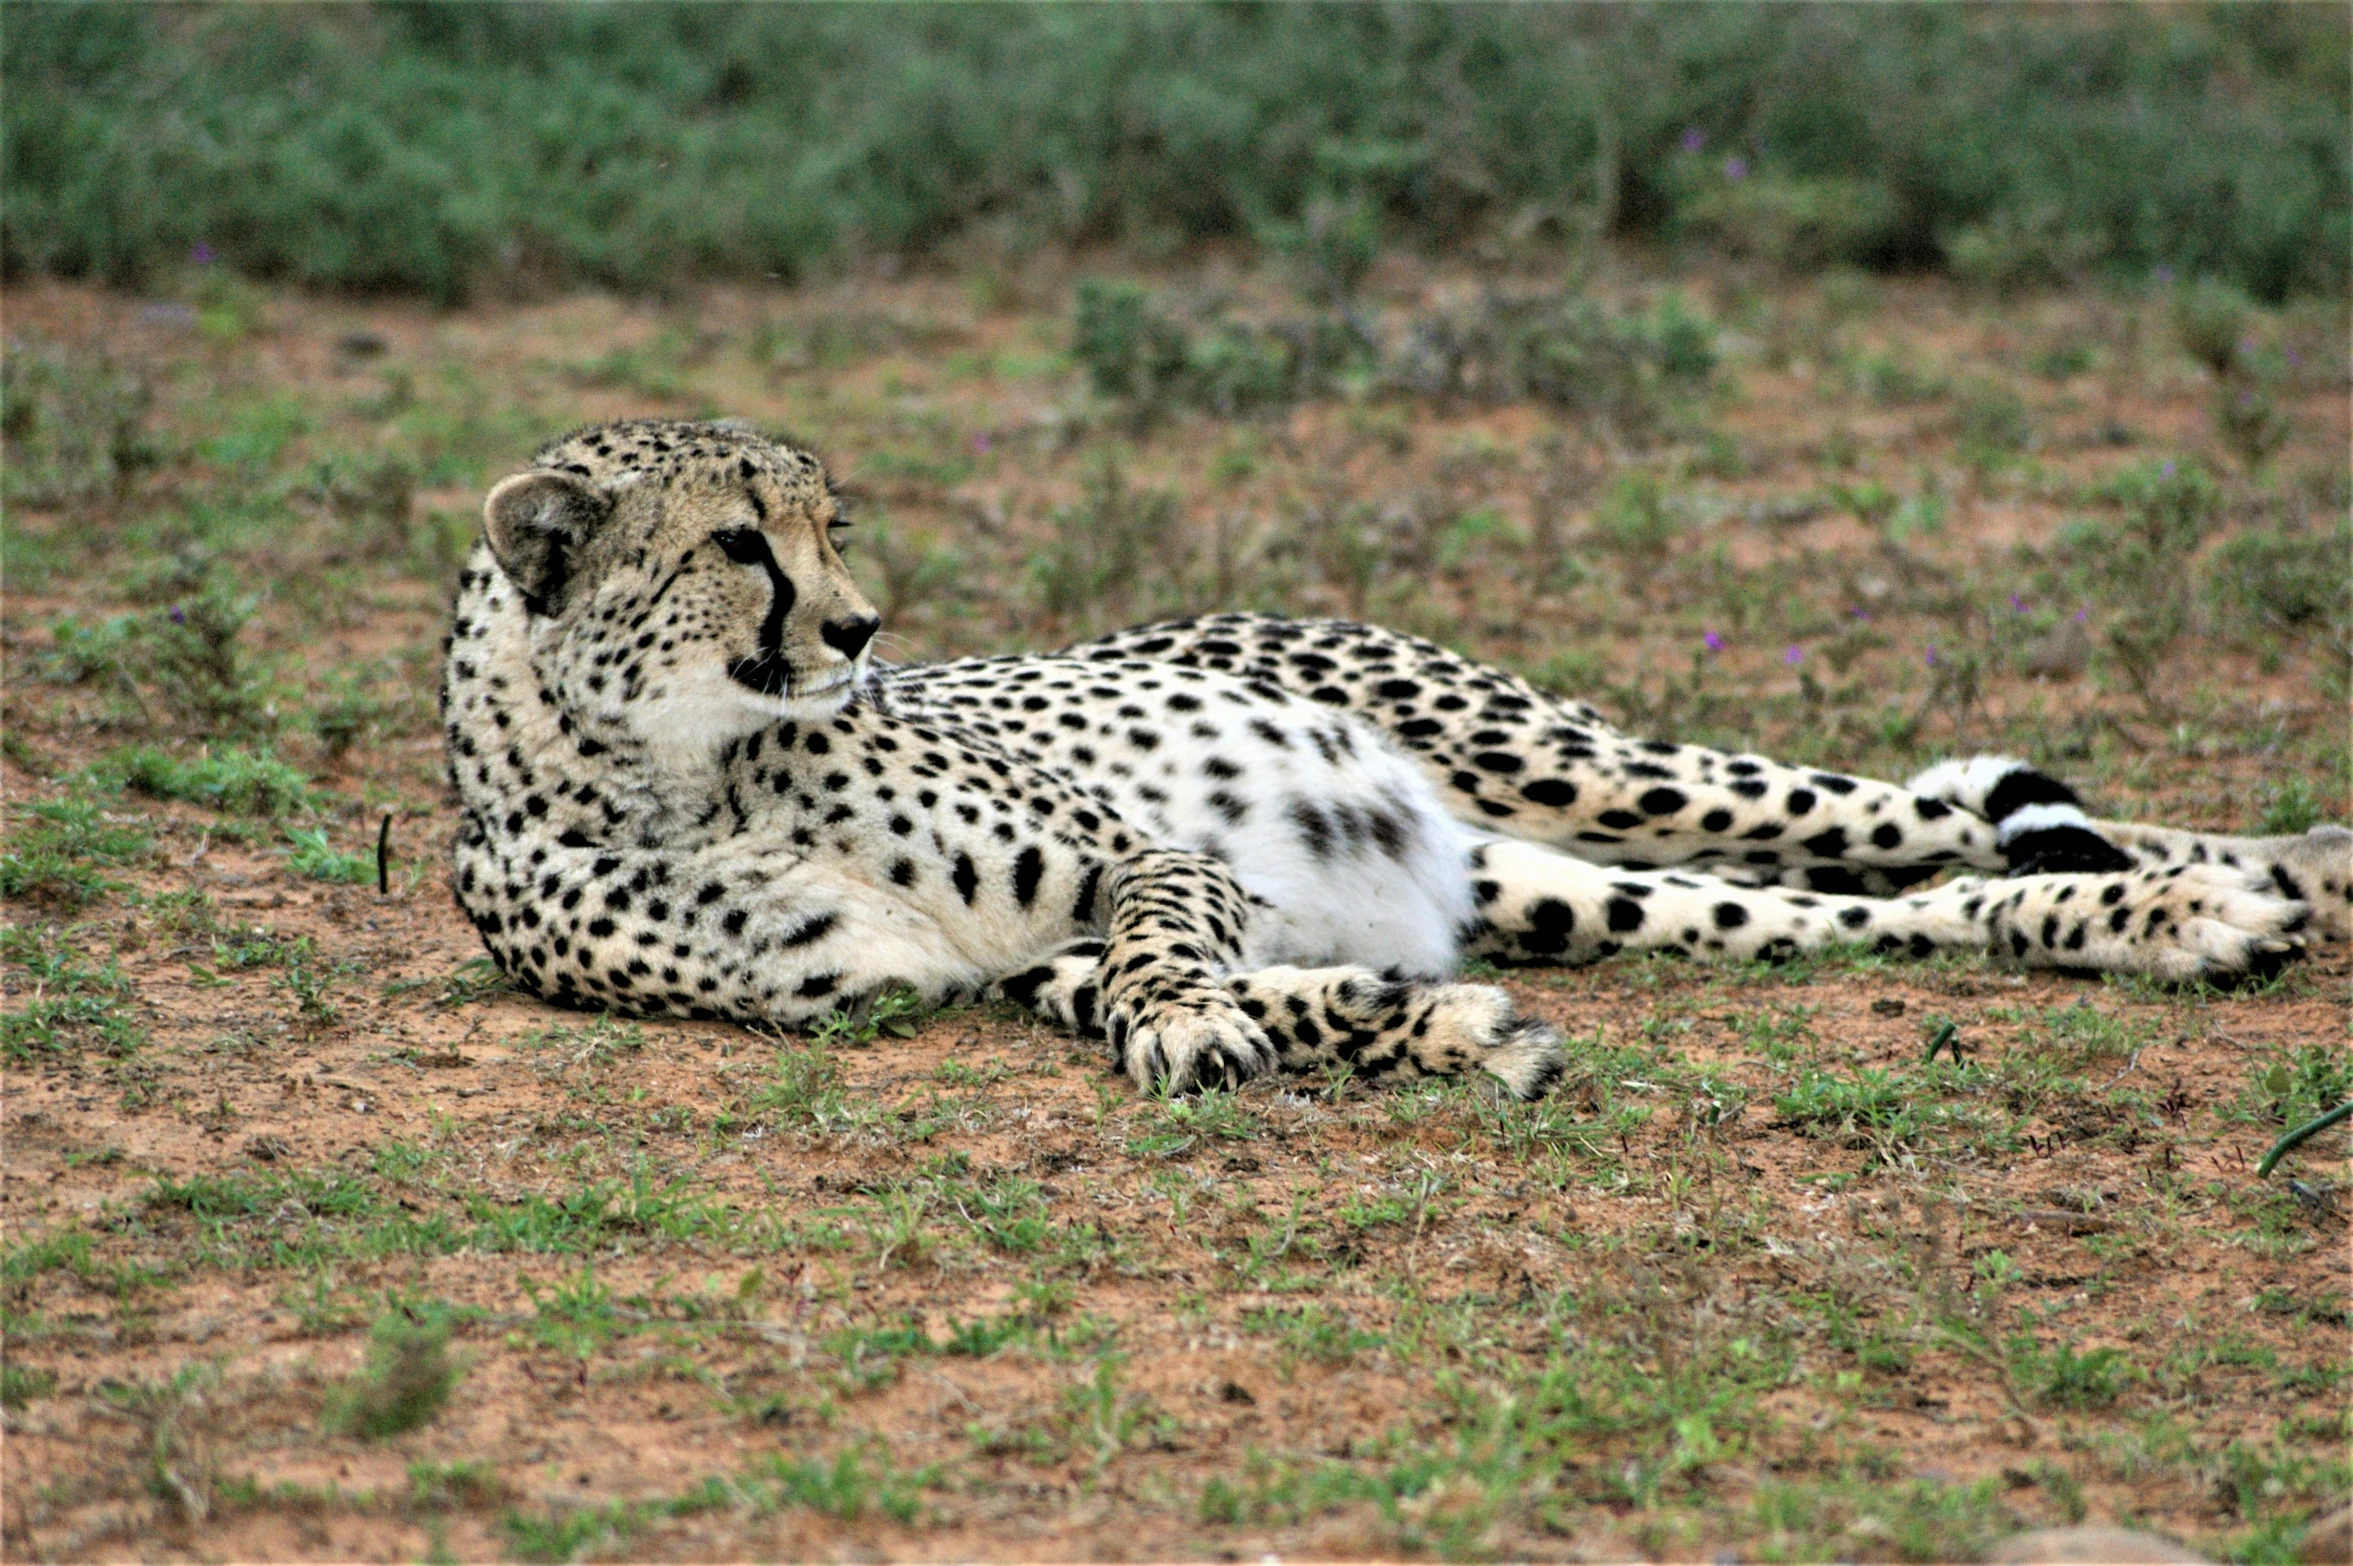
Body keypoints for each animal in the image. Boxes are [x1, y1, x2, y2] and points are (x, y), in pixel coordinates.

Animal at [444, 420, 2334, 1091]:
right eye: (736, 543)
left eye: (827, 525)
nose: (861, 627)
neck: (677, 764)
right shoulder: (979, 973)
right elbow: (1187, 989)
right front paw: (1419, 1026)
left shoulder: (1139, 856)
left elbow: (1161, 954)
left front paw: (1210, 1021)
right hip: (1571, 883)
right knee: (1910, 897)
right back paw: (2163, 919)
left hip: (1571, 761)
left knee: (1918, 804)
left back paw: (2264, 869)